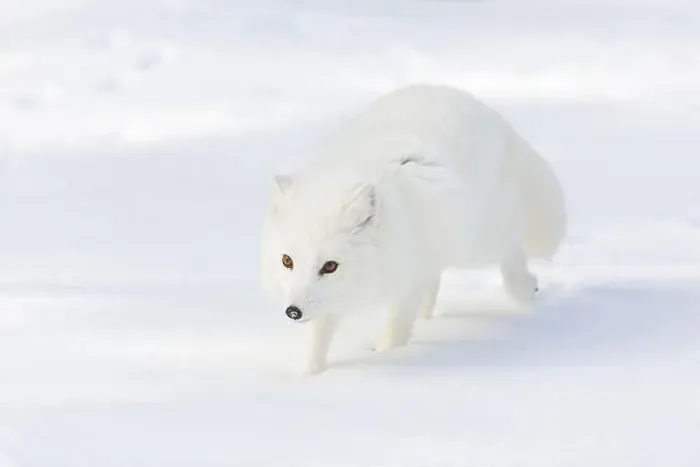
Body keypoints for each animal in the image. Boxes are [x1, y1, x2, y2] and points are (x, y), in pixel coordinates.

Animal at [260, 84, 567, 375]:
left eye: (330, 266)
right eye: (287, 261)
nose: (293, 312)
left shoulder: (409, 280)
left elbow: (397, 328)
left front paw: (388, 354)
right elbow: (316, 340)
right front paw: (309, 374)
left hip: (479, 240)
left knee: (511, 251)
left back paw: (525, 289)